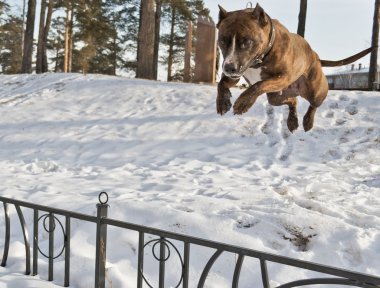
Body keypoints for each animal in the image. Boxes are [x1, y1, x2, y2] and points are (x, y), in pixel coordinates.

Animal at [217, 3, 374, 132]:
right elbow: (221, 83)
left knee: (314, 104)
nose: (229, 67)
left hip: (315, 91)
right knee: (293, 101)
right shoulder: (235, 75)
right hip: (276, 97)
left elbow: (258, 85)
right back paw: (292, 121)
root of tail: (316, 56)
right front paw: (222, 102)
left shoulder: (283, 77)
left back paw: (308, 121)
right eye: (222, 41)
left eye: (247, 41)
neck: (260, 59)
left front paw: (243, 103)